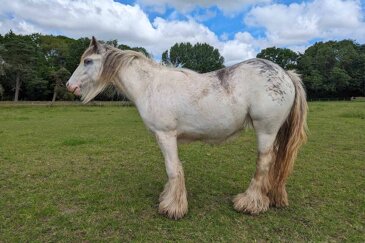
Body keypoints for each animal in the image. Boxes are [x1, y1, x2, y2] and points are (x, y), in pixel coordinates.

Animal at [67, 37, 306, 219]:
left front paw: (173, 207)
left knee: (263, 164)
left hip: (266, 131)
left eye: (87, 61)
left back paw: (249, 203)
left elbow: (173, 169)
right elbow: (174, 170)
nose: (70, 86)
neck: (150, 85)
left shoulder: (165, 136)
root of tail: (285, 73)